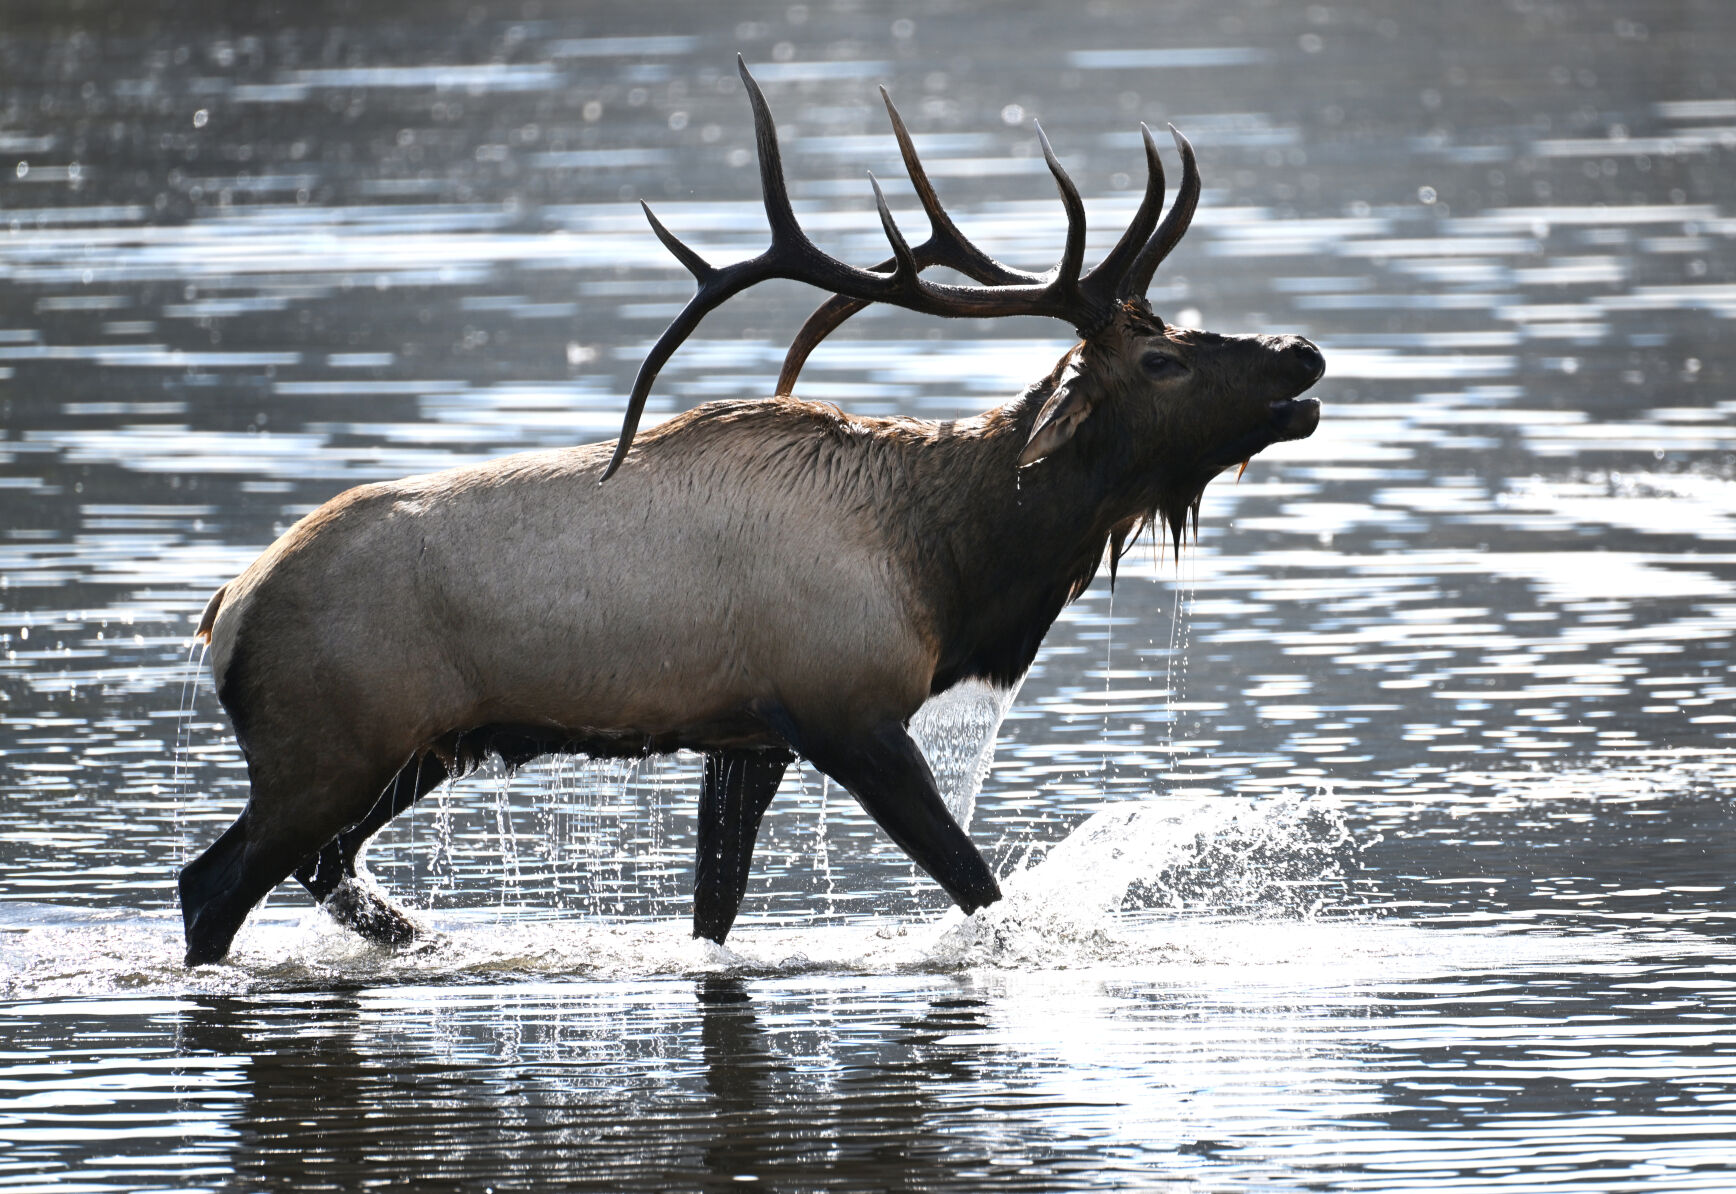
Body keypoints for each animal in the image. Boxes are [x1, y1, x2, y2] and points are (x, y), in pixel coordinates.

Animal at [176, 58, 1323, 966]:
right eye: (1163, 360)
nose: (1302, 354)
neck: (950, 566)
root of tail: (225, 607)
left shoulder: (745, 739)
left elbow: (714, 918)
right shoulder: (843, 711)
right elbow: (977, 888)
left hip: (414, 749)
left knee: (318, 868)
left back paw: (423, 936)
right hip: (326, 746)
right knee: (213, 883)